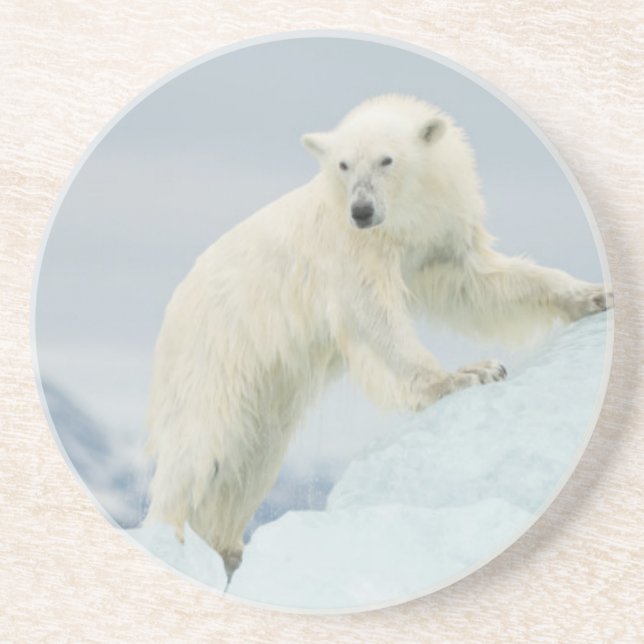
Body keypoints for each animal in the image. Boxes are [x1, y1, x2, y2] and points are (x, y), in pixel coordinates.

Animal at [144, 94, 611, 581]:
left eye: (387, 159)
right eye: (343, 164)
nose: (362, 211)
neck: (402, 219)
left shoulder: (437, 236)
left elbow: (480, 282)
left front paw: (591, 295)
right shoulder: (351, 248)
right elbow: (372, 315)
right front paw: (468, 374)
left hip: (267, 384)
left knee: (252, 455)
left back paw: (227, 549)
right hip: (216, 350)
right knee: (202, 447)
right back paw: (175, 540)